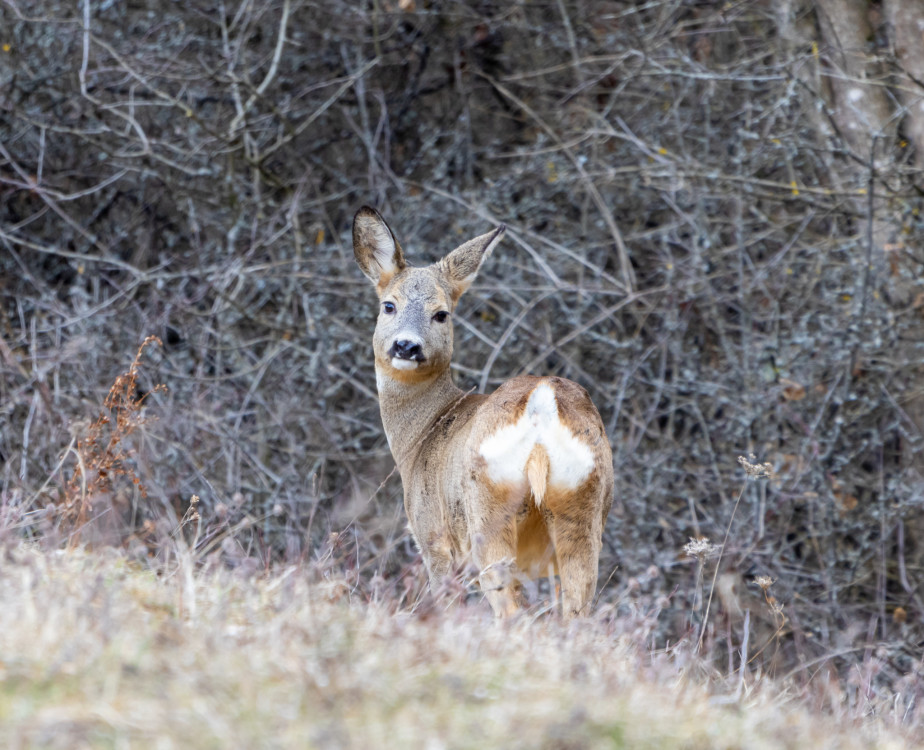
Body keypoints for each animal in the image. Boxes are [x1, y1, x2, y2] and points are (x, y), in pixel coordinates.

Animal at [354, 206, 612, 616]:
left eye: (441, 314)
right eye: (388, 305)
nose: (406, 346)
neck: (420, 436)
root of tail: (542, 403)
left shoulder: (433, 536)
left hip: (489, 515)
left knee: (509, 610)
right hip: (582, 508)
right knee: (577, 607)